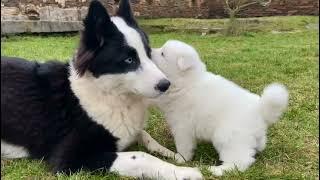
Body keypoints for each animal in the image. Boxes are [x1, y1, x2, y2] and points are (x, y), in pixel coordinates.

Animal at [0, 0, 202, 179]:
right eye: (129, 60)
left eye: (148, 53)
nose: (165, 85)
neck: (107, 93)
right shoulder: (70, 159)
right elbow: (140, 156)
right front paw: (184, 172)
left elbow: (145, 135)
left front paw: (171, 154)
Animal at [149, 39, 288, 176]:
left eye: (162, 53)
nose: (149, 51)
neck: (187, 80)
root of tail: (260, 111)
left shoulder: (182, 126)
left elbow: (184, 145)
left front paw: (180, 159)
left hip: (228, 137)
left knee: (240, 162)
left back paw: (216, 170)